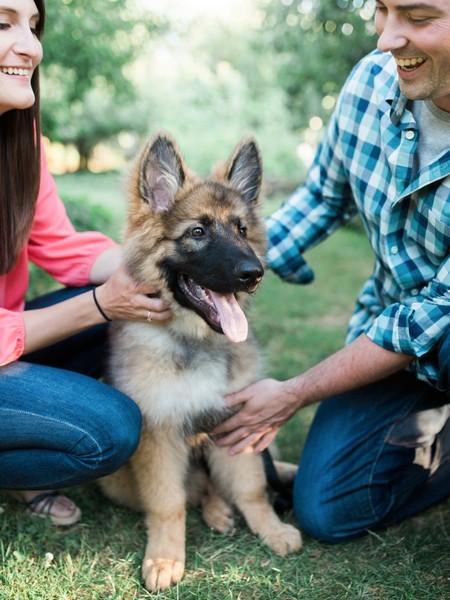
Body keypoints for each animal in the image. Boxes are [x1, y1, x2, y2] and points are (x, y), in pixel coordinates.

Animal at [100, 130, 300, 592]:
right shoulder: (159, 434)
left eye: (242, 229)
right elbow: (168, 503)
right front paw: (165, 558)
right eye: (197, 232)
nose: (254, 273)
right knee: (196, 490)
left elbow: (252, 488)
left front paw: (272, 529)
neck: (194, 340)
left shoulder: (237, 423)